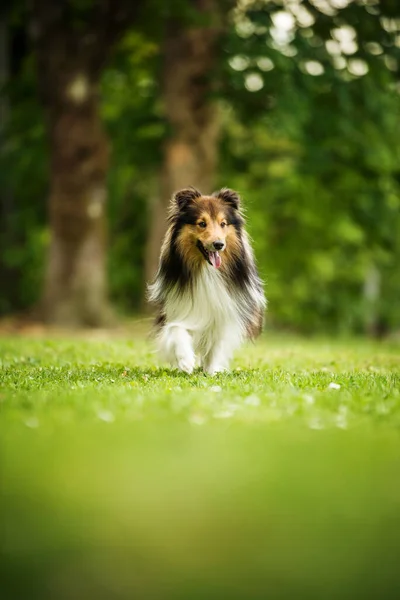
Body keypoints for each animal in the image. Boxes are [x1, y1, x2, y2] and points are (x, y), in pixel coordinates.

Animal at [148, 188, 266, 376]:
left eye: (223, 224)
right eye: (202, 223)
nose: (218, 244)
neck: (208, 271)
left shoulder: (225, 313)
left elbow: (217, 345)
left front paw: (212, 371)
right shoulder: (177, 310)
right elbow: (176, 329)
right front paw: (186, 361)